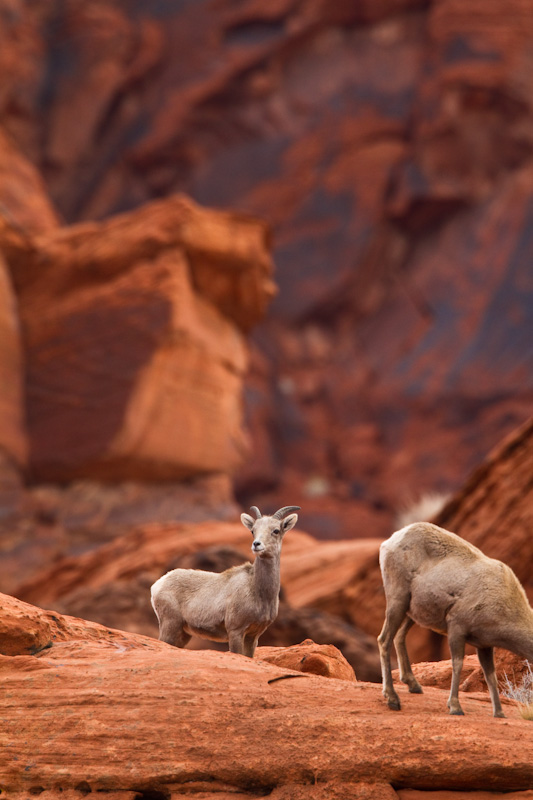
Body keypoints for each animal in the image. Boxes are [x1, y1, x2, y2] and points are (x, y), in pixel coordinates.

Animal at [151, 506, 300, 656]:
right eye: (253, 530)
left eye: (276, 530)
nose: (256, 544)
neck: (257, 591)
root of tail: (157, 585)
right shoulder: (235, 631)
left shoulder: (253, 636)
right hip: (170, 626)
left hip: (183, 633)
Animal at [376, 520, 532, 716]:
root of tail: (390, 541)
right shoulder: (457, 629)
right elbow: (457, 665)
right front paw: (455, 707)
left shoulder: (485, 645)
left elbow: (491, 676)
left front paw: (499, 714)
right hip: (398, 601)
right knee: (384, 640)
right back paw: (393, 699)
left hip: (412, 612)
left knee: (399, 637)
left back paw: (414, 686)